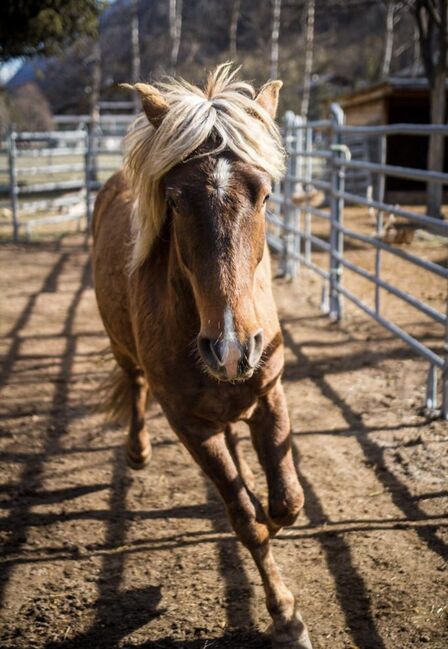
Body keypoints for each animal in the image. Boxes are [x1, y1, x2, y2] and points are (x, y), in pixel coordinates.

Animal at [92, 62, 312, 648]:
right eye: (173, 201)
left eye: (265, 195)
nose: (233, 347)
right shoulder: (189, 424)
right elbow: (245, 519)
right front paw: (286, 616)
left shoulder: (270, 393)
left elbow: (287, 502)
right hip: (123, 348)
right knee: (133, 383)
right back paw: (138, 451)